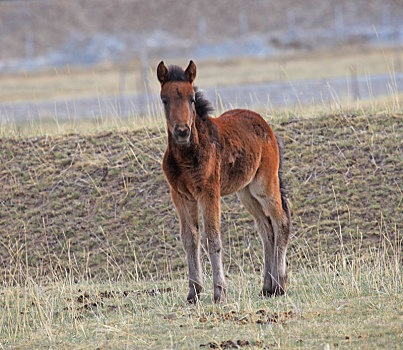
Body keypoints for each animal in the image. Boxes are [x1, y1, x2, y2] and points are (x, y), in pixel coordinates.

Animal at [157, 60, 290, 304]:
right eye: (164, 99)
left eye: (192, 98)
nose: (182, 132)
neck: (187, 155)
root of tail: (267, 127)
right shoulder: (180, 196)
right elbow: (190, 239)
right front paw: (193, 293)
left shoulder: (209, 193)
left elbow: (213, 238)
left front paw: (219, 292)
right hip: (245, 192)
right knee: (265, 227)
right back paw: (266, 287)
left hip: (264, 185)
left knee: (281, 221)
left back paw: (279, 284)